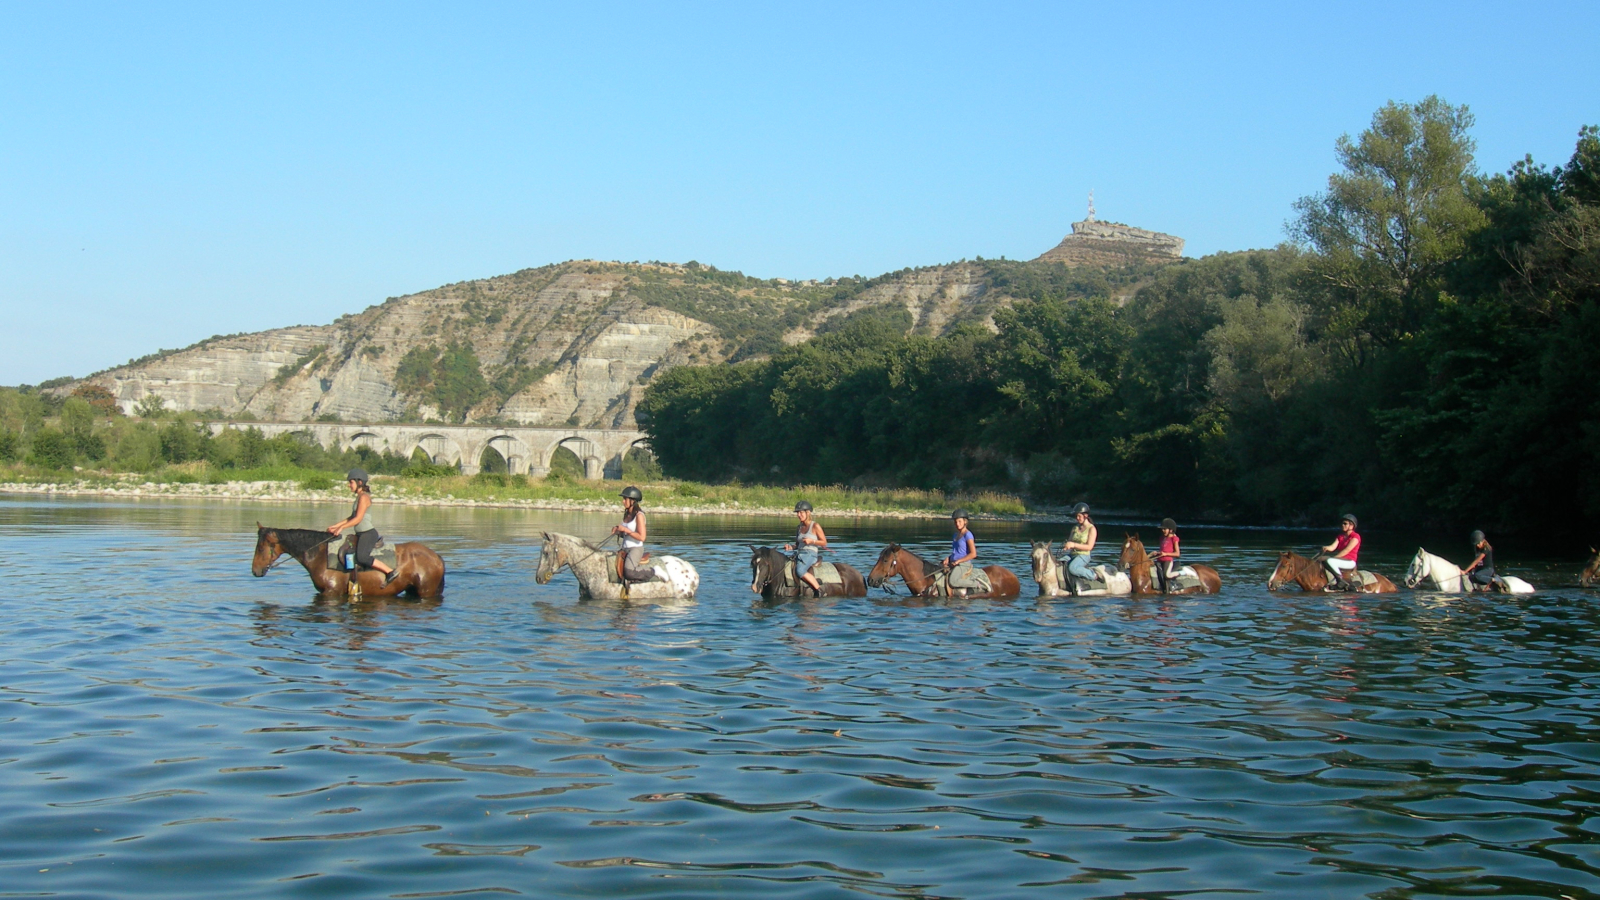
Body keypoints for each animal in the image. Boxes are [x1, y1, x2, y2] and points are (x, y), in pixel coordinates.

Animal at [252, 522, 448, 598]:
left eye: (260, 548)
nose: (255, 571)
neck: (320, 555)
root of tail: (436, 557)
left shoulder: (331, 593)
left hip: (426, 592)